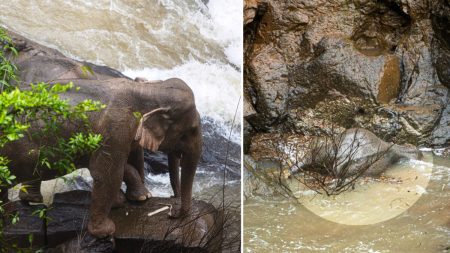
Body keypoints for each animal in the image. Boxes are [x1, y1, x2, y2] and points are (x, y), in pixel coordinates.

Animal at [0, 76, 202, 237]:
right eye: (191, 130)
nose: (171, 212)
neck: (148, 90)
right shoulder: (115, 130)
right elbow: (107, 175)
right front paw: (105, 232)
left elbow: (114, 168)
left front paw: (135, 199)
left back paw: (25, 204)